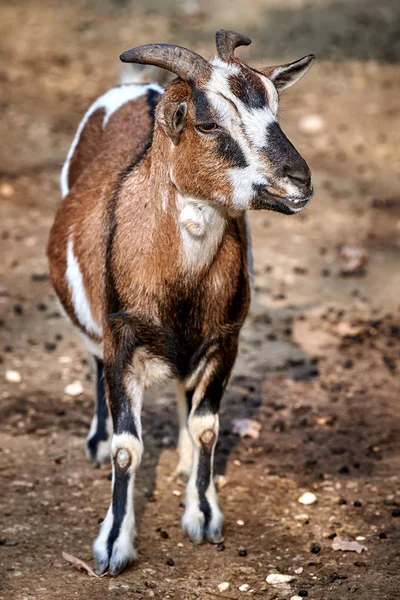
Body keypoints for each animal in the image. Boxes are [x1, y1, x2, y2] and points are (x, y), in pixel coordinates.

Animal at [47, 30, 316, 576]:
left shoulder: (224, 338)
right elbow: (128, 449)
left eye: (275, 109)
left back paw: (186, 462)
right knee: (93, 359)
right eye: (208, 122)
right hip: (96, 326)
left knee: (182, 389)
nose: (299, 183)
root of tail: (135, 89)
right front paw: (112, 546)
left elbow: (207, 426)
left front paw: (203, 513)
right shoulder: (123, 339)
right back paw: (96, 442)